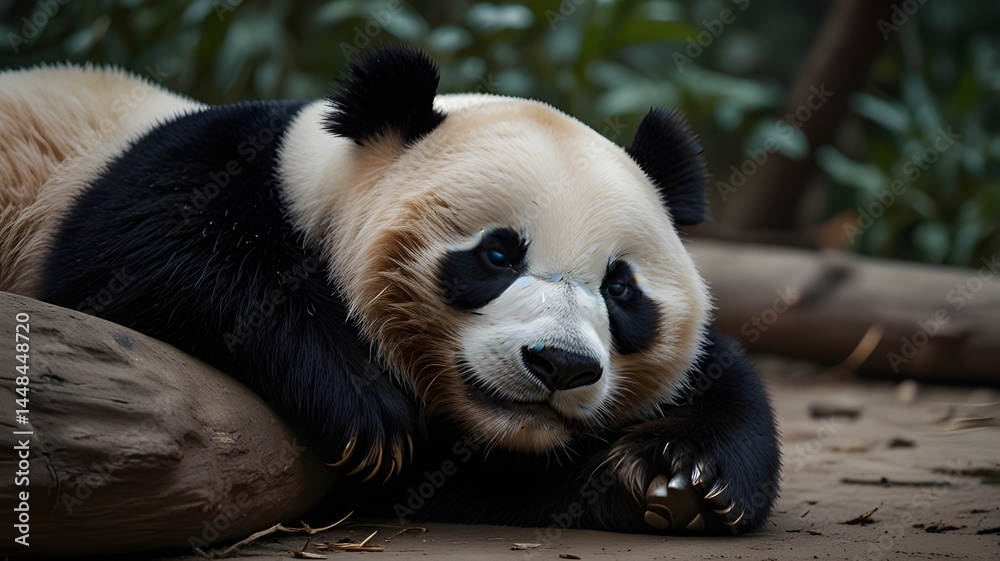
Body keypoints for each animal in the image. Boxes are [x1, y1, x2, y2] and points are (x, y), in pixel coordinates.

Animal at [0, 44, 780, 535]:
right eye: (497, 254)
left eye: (621, 290)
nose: (560, 365)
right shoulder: (188, 174)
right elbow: (155, 257)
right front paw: (367, 409)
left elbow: (719, 379)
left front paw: (683, 477)